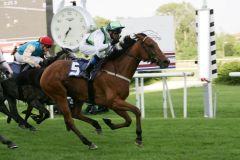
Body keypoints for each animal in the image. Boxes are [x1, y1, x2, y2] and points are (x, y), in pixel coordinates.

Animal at [40, 33, 170, 149]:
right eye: (150, 45)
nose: (166, 61)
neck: (117, 71)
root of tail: (48, 68)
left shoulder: (115, 103)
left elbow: (128, 120)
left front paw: (109, 123)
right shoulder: (114, 101)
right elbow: (137, 111)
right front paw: (138, 137)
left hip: (78, 96)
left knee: (75, 114)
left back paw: (97, 125)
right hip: (59, 95)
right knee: (70, 120)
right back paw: (89, 142)